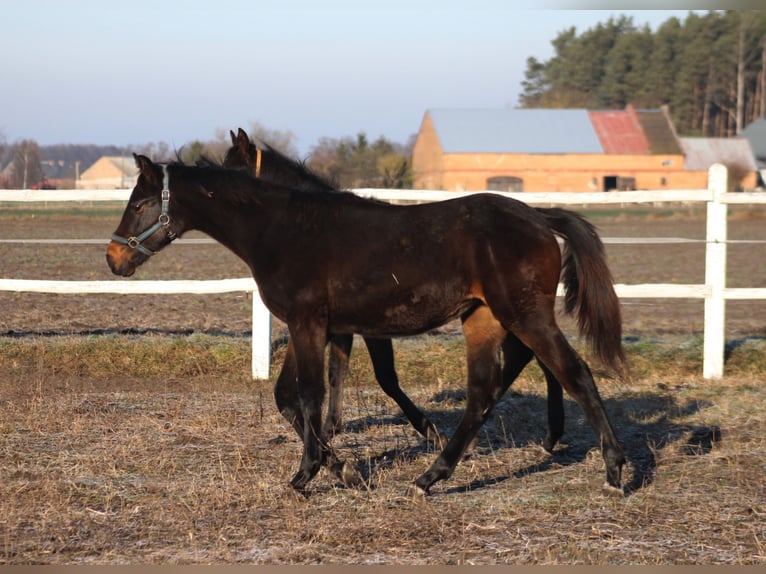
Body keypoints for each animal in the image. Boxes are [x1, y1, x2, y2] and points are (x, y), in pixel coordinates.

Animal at [107, 154, 626, 496]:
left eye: (139, 203)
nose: (114, 259)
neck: (283, 229)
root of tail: (538, 215)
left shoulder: (310, 323)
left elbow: (311, 395)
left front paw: (307, 475)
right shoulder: (314, 326)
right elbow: (288, 398)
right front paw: (344, 471)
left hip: (525, 314)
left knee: (574, 373)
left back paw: (614, 471)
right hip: (483, 319)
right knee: (483, 393)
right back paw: (431, 476)